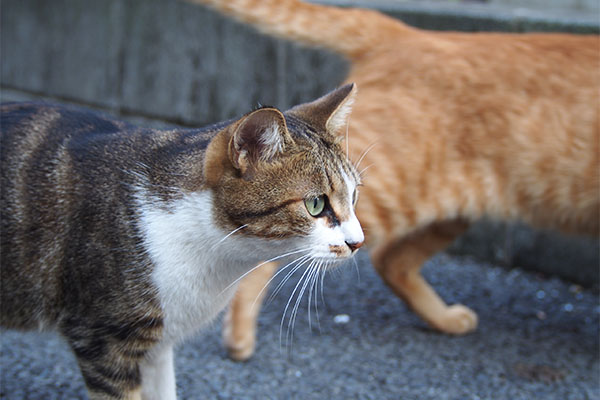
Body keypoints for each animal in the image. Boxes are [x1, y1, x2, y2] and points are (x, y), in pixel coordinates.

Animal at [191, 0, 600, 360]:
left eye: (353, 195)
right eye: (315, 204)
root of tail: (410, 33)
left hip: (440, 211)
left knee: (391, 259)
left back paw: (444, 319)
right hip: (396, 190)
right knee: (268, 259)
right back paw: (239, 338)